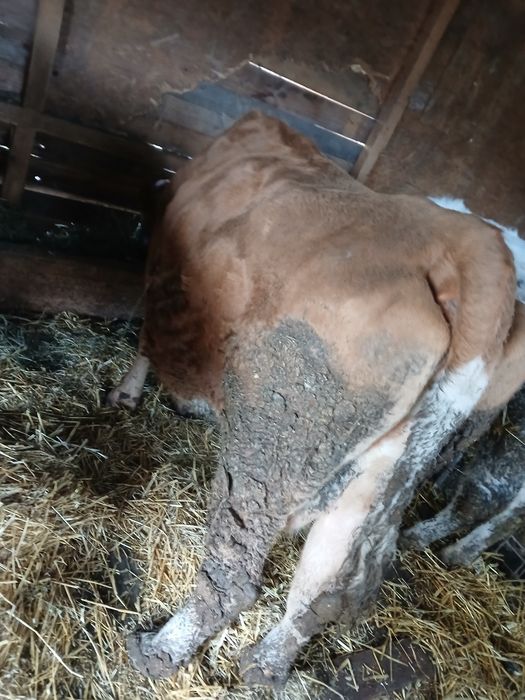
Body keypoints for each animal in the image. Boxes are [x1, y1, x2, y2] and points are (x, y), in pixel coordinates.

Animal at [107, 111, 525, 687]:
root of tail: (471, 245)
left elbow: (147, 339)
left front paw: (127, 394)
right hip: (380, 475)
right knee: (325, 585)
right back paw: (264, 665)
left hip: (272, 448)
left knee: (235, 576)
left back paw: (158, 651)